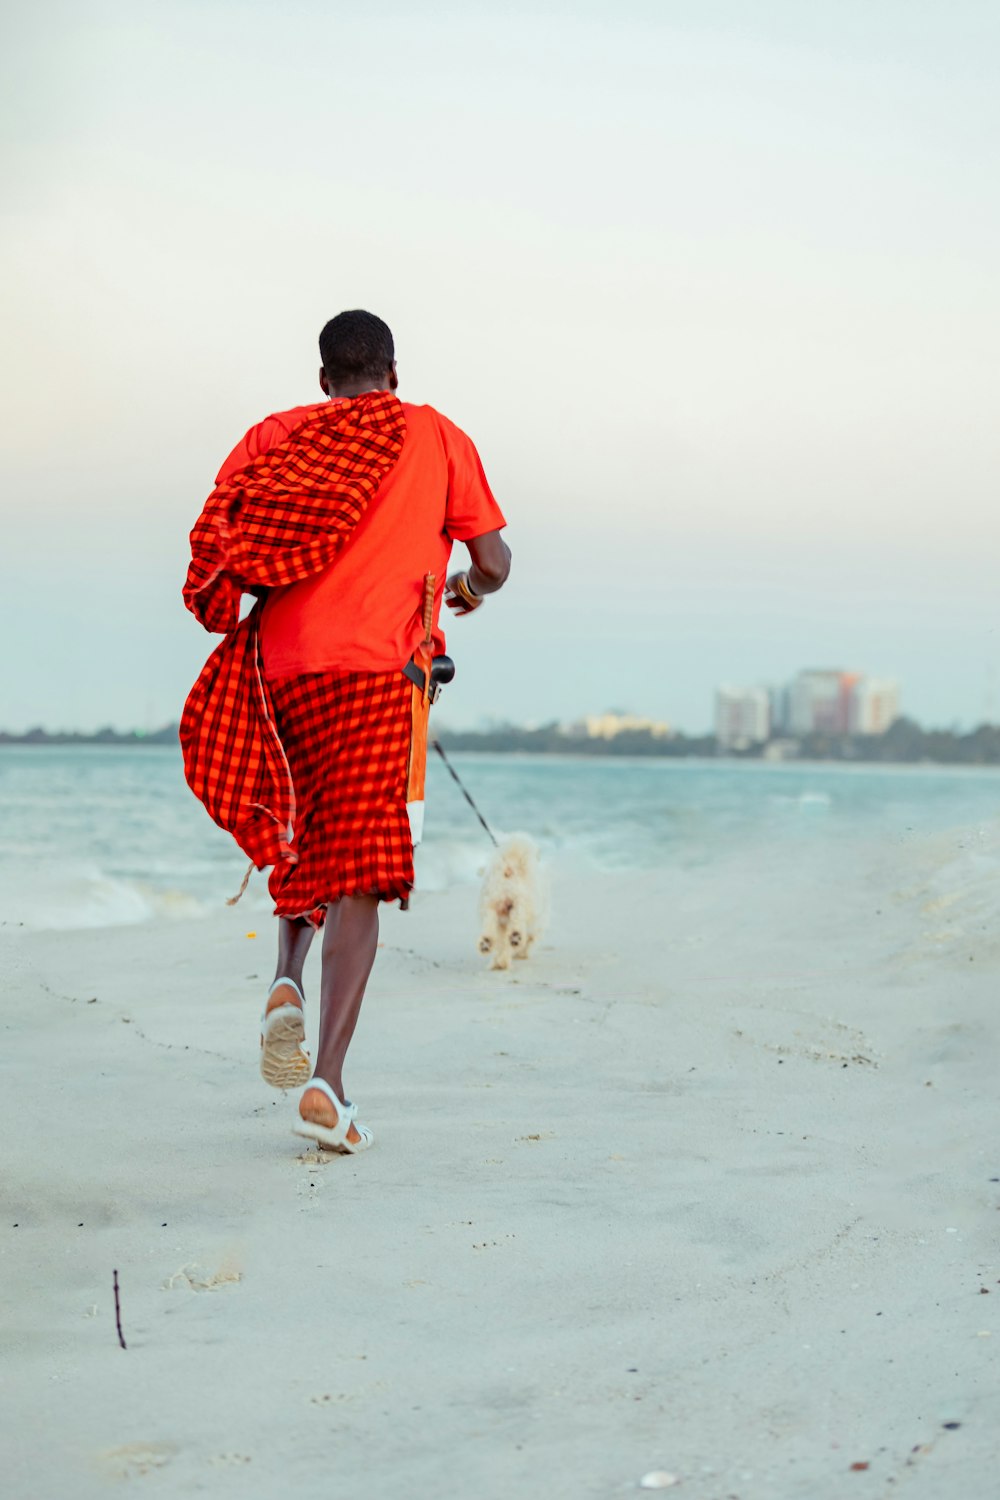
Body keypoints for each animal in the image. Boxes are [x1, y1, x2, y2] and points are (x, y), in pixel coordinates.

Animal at [476, 834, 548, 972]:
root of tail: (510, 868)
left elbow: (502, 945)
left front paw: (500, 962)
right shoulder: (536, 924)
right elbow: (529, 939)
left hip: (490, 904)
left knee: (490, 924)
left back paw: (486, 943)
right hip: (520, 902)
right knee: (518, 921)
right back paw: (516, 937)